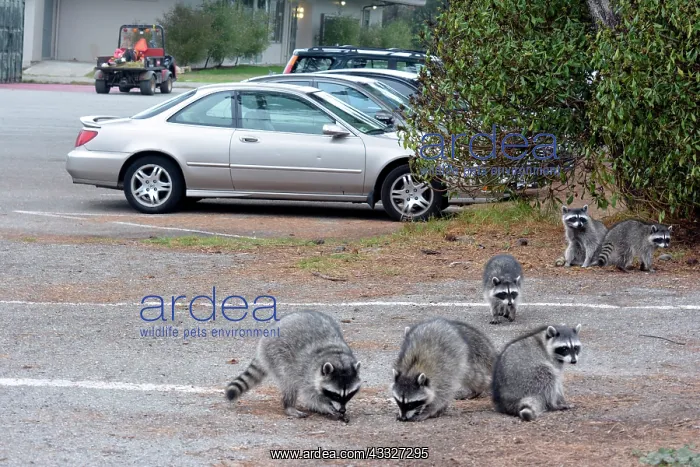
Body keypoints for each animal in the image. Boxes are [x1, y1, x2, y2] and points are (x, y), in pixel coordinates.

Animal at [225, 310, 361, 422]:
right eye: (335, 395)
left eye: (349, 394)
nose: (342, 410)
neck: (336, 355)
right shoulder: (308, 373)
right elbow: (311, 396)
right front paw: (326, 407)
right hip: (276, 353)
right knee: (289, 382)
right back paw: (289, 406)